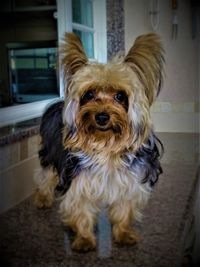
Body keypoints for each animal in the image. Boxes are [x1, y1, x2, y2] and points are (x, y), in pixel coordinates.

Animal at [34, 32, 165, 252]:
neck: (106, 145)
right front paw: (84, 239)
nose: (102, 117)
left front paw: (123, 234)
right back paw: (43, 199)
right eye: (89, 95)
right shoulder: (78, 180)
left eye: (120, 96)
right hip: (50, 155)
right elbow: (81, 210)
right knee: (45, 176)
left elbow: (123, 210)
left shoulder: (128, 181)